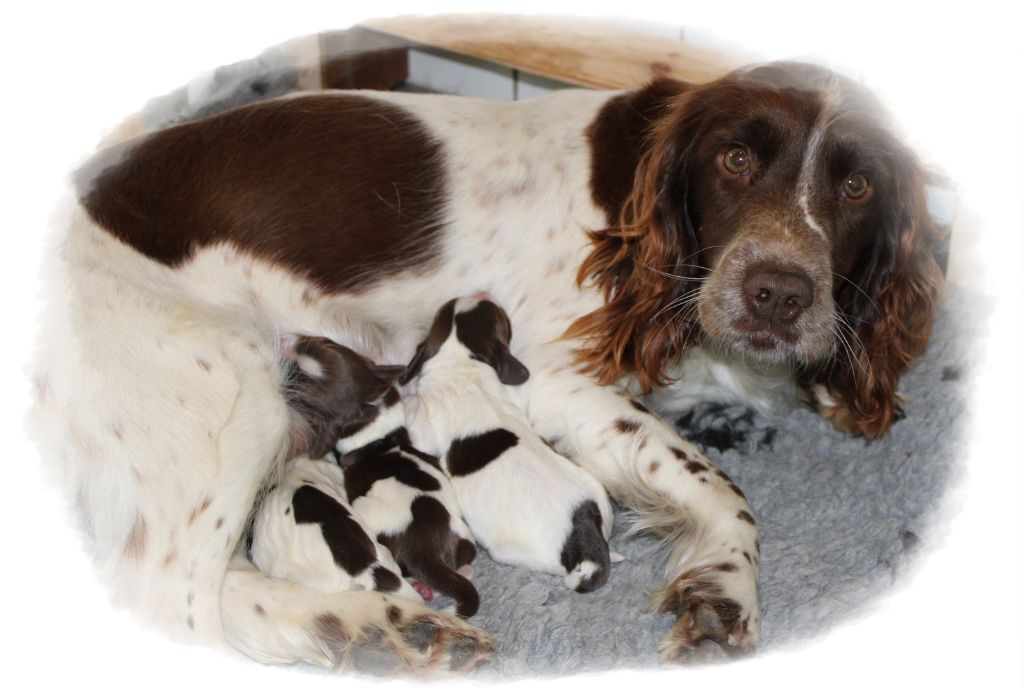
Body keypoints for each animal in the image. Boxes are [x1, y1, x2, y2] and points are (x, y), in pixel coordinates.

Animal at [286, 337, 481, 618]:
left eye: (300, 381)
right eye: (326, 341)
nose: (292, 340)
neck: (380, 437)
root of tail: (425, 550)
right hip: (461, 532)